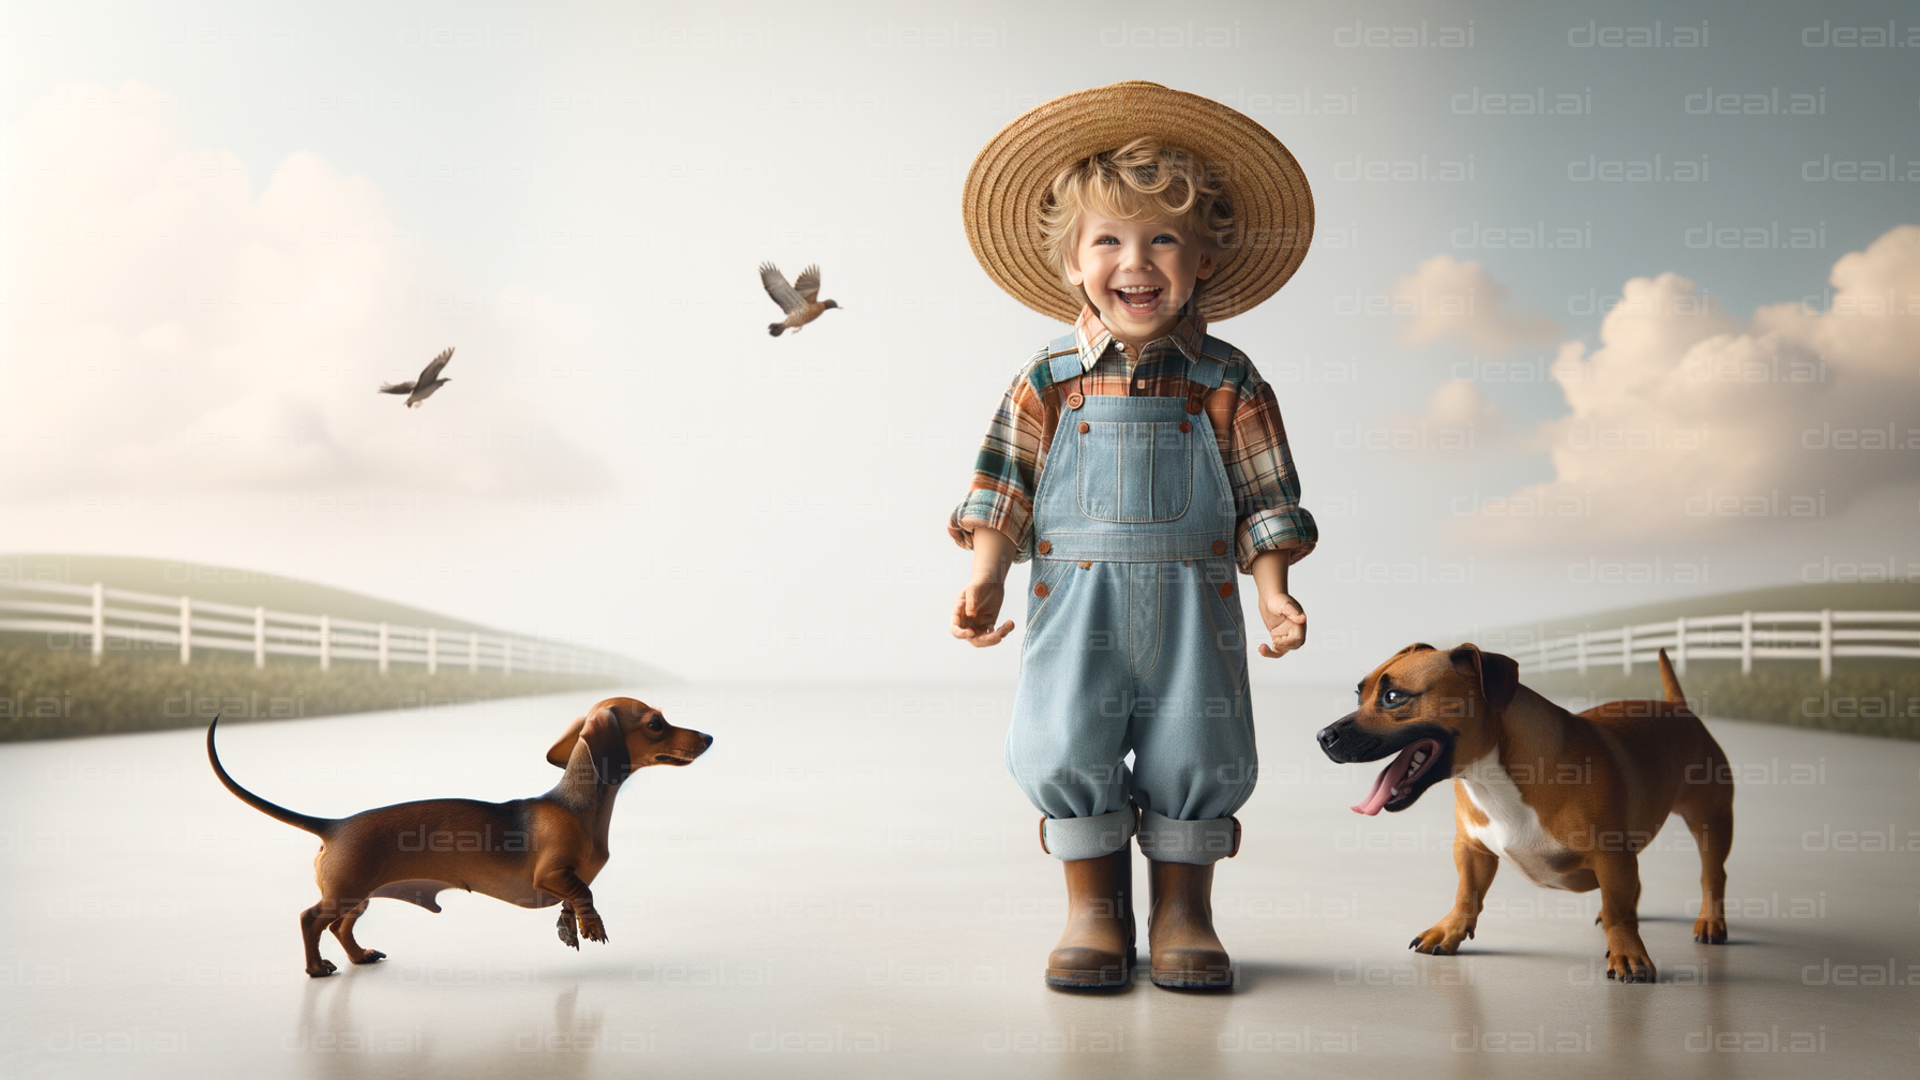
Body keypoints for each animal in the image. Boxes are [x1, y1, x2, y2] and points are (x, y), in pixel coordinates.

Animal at [206, 699, 714, 976]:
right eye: (655, 723)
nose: (708, 737)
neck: (577, 805)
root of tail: (334, 824)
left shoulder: (562, 879)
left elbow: (574, 897)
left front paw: (569, 926)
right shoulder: (551, 873)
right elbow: (582, 891)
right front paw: (591, 925)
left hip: (359, 895)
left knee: (339, 927)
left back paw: (360, 956)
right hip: (344, 892)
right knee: (311, 919)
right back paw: (316, 969)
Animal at [1313, 641, 1735, 980]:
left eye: (1393, 697)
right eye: (1360, 695)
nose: (1322, 736)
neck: (1491, 774)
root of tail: (1679, 708)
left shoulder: (1611, 855)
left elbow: (1619, 911)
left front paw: (1628, 954)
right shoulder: (1472, 848)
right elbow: (1466, 894)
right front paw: (1449, 932)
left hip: (1711, 821)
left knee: (1712, 875)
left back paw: (1710, 922)